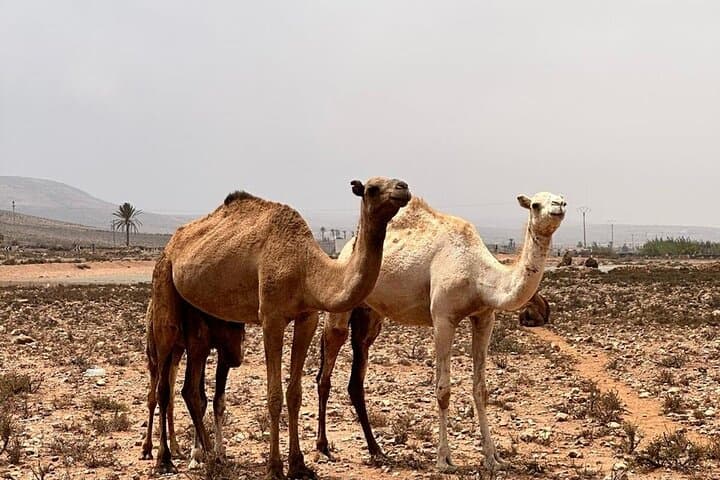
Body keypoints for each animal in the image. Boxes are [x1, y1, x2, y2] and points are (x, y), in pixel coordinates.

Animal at [141, 298, 246, 469]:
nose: (237, 358)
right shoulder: (205, 344)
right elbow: (196, 396)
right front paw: (203, 455)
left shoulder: (216, 348)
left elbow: (212, 400)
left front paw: (212, 454)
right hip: (155, 350)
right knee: (154, 396)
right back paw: (148, 449)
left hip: (177, 351)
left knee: (169, 397)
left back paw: (175, 449)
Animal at [316, 192, 566, 473]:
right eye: (535, 204)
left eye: (562, 199)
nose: (558, 208)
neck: (479, 275)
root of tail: (347, 249)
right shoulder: (443, 318)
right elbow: (443, 390)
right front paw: (444, 459)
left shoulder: (484, 317)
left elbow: (481, 389)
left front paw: (493, 457)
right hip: (341, 303)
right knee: (326, 370)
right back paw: (323, 447)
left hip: (370, 314)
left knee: (356, 375)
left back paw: (376, 450)